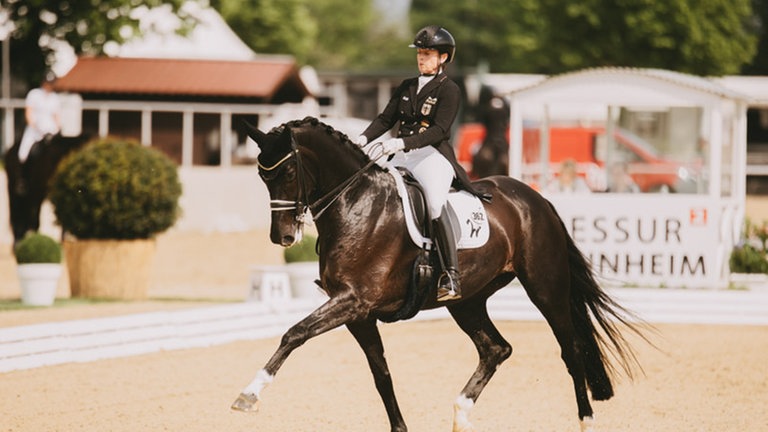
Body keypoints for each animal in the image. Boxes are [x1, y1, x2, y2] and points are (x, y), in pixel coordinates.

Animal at [231, 117, 645, 432]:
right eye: (262, 176)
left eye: (288, 171)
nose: (283, 237)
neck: (356, 204)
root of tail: (536, 198)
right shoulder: (358, 315)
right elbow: (381, 375)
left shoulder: (354, 301)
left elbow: (294, 333)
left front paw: (248, 395)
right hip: (467, 300)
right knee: (496, 349)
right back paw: (461, 415)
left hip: (545, 287)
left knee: (570, 349)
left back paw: (586, 421)